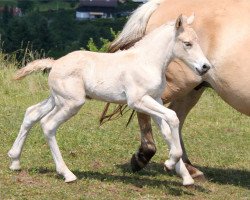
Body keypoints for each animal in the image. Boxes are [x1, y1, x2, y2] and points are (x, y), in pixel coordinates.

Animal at [8, 14, 211, 185]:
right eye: (187, 43)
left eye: (197, 41)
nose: (205, 67)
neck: (147, 62)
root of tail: (55, 63)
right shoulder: (138, 101)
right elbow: (173, 117)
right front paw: (170, 164)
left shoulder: (155, 99)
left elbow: (167, 131)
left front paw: (184, 176)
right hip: (72, 103)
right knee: (48, 125)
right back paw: (67, 174)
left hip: (58, 99)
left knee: (32, 113)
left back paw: (15, 160)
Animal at [101, 0, 250, 178]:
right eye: (188, 44)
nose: (206, 66)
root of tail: (160, 5)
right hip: (177, 85)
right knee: (149, 110)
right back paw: (143, 156)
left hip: (192, 90)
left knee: (175, 116)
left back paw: (186, 167)